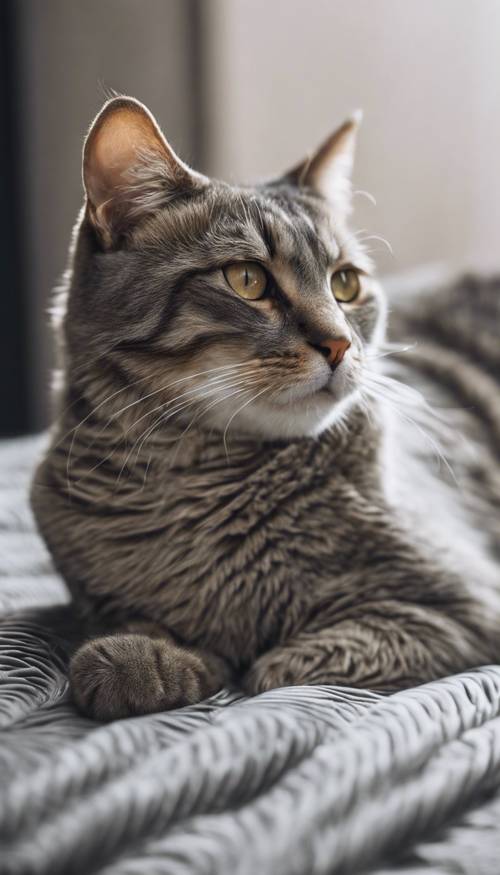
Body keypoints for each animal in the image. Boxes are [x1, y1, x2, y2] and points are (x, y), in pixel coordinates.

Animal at [31, 96, 500, 724]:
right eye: (247, 279)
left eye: (345, 283)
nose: (339, 344)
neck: (197, 485)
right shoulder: (97, 595)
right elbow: (144, 622)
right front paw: (150, 658)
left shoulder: (457, 608)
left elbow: (281, 669)